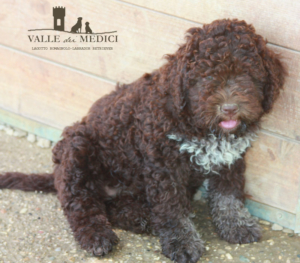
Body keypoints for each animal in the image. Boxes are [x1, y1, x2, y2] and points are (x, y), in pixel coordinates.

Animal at [0, 19, 286, 263]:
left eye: (247, 73)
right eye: (205, 76)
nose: (229, 108)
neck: (201, 125)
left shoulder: (230, 158)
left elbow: (228, 195)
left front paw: (236, 225)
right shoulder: (164, 165)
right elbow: (171, 208)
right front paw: (182, 242)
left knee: (112, 207)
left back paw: (141, 218)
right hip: (77, 148)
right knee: (80, 203)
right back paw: (98, 236)